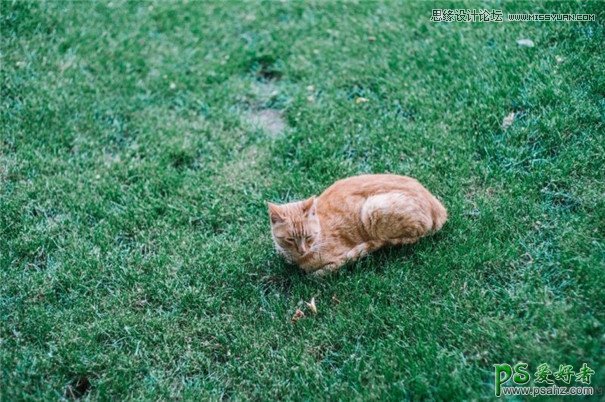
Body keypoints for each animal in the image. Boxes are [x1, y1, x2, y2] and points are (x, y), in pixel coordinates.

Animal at [266, 174, 446, 274]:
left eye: (308, 237)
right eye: (290, 239)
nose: (302, 250)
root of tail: (439, 209)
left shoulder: (339, 259)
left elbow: (320, 273)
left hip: (373, 208)